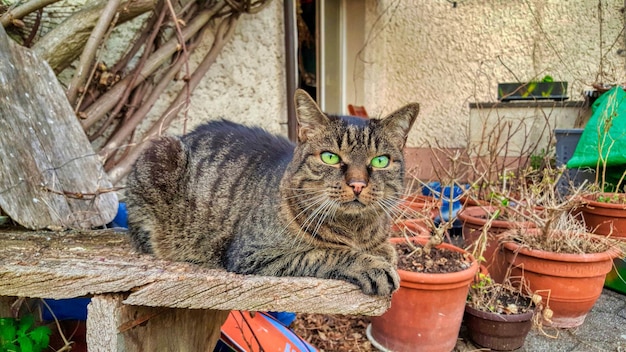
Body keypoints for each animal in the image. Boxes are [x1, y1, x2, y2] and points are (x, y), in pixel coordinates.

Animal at [125, 89, 420, 296]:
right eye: (330, 157)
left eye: (380, 161)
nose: (357, 184)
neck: (355, 230)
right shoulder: (253, 254)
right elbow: (325, 252)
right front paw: (370, 266)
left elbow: (388, 250)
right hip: (160, 153)